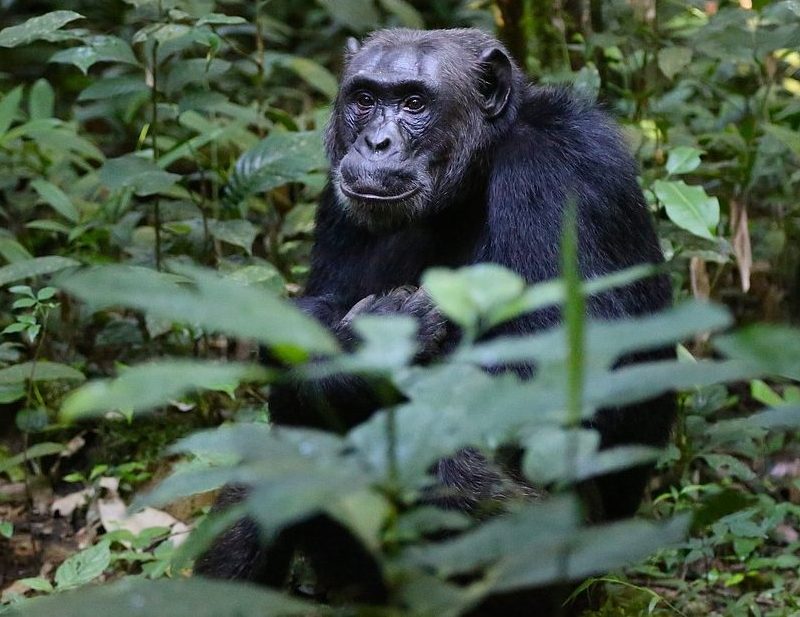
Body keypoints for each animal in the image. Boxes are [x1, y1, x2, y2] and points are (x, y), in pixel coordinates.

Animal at [194, 27, 676, 608]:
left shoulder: (562, 171)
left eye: (414, 103)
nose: (376, 142)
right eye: (364, 99)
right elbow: (315, 313)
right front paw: (351, 351)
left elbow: (568, 368)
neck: (472, 178)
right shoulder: (337, 198)